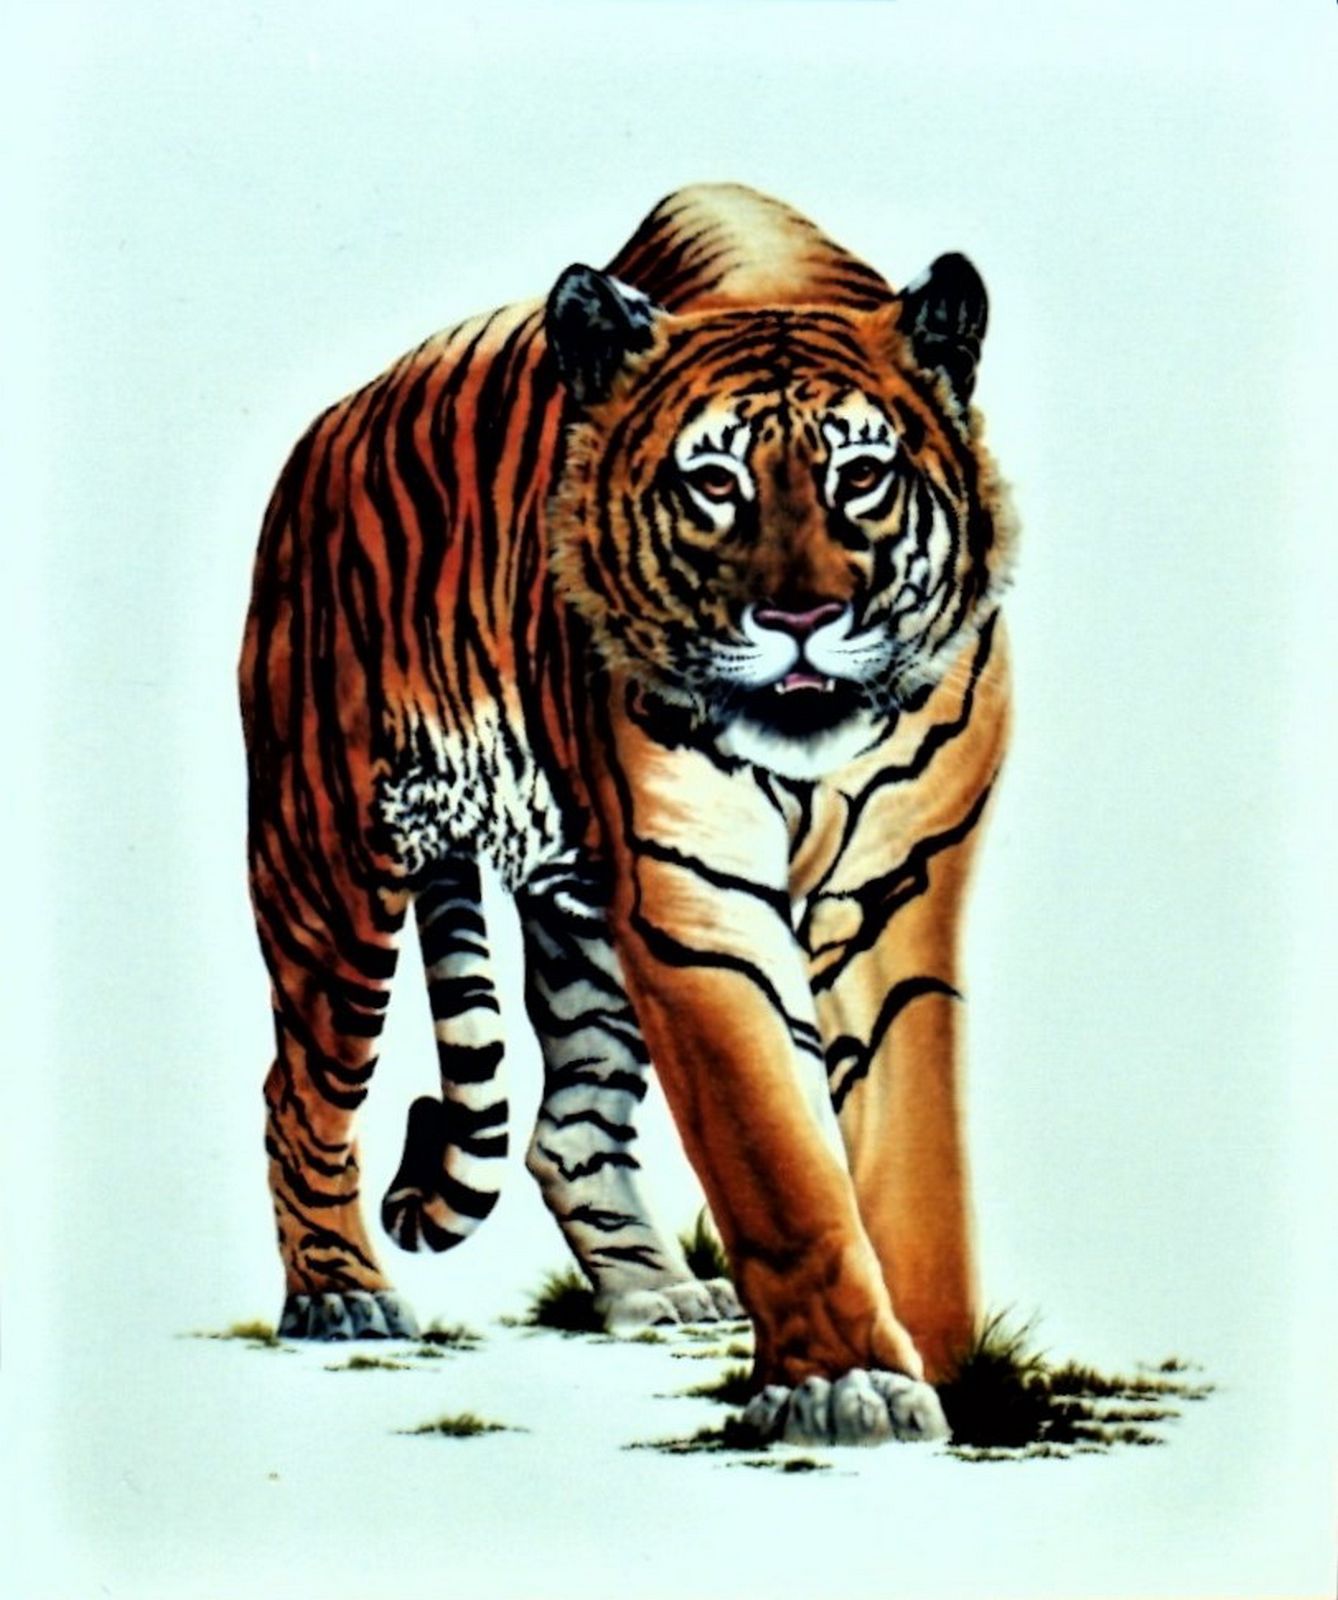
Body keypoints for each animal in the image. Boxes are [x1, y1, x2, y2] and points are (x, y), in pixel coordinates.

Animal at [239, 183, 1014, 1446]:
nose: (800, 617)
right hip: (325, 867)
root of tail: (321, 439)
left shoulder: (895, 896)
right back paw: (339, 1293)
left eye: (861, 475)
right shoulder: (697, 911)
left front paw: (944, 1364)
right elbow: (778, 1155)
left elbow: (915, 1161)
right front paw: (845, 1381)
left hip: (584, 921)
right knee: (297, 1096)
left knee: (569, 1125)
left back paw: (654, 1289)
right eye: (715, 484)